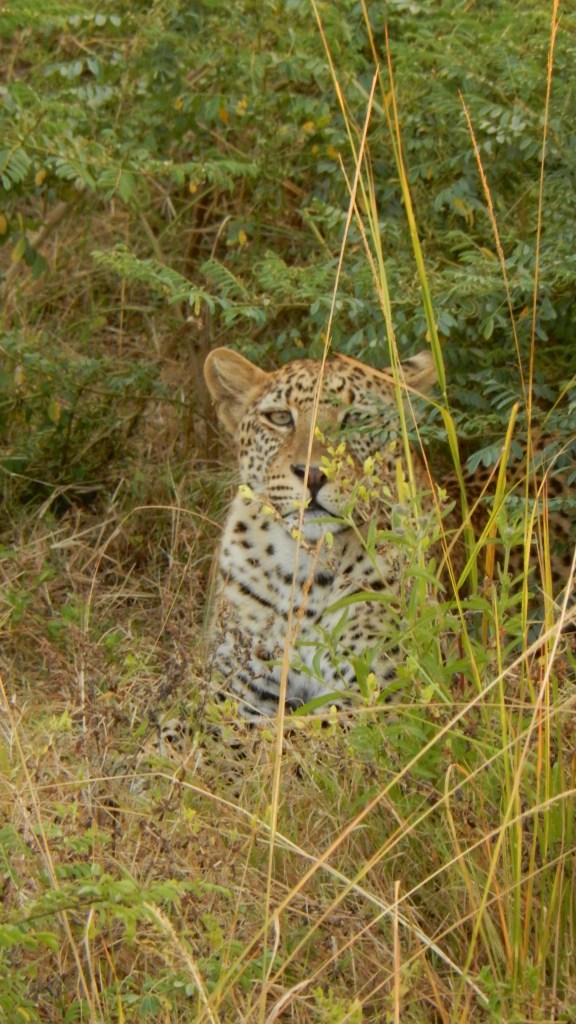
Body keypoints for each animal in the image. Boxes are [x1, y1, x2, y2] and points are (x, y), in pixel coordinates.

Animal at [202, 345, 441, 722]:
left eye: (355, 418)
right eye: (280, 418)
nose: (313, 473)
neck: (303, 571)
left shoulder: (369, 693)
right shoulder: (232, 683)